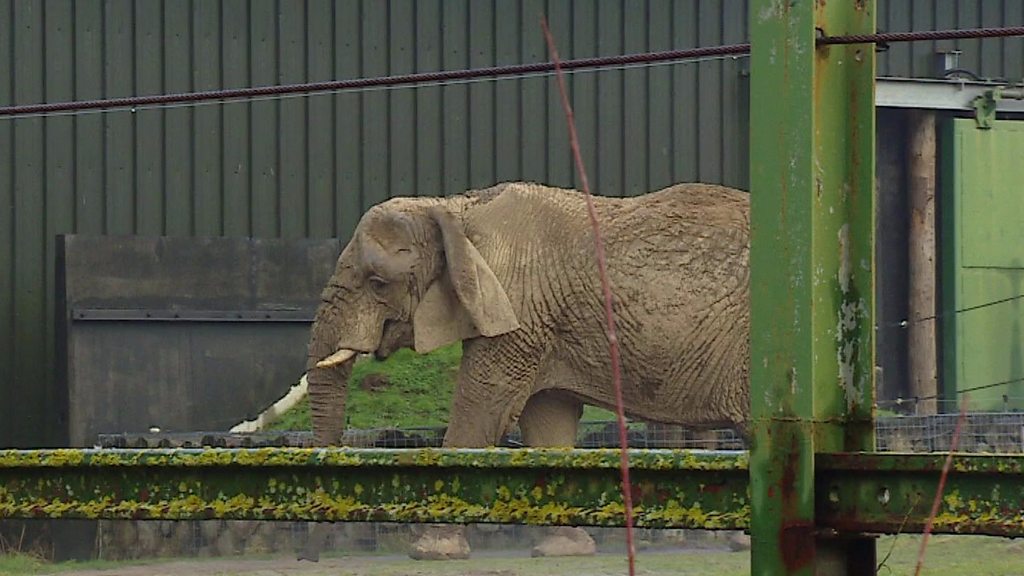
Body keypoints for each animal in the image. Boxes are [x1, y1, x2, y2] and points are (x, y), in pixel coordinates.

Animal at [299, 179, 749, 557]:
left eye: (377, 283)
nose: (310, 556)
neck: (455, 209)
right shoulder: (541, 322)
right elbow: (548, 420)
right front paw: (562, 550)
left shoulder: (517, 310)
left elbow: (482, 406)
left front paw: (432, 549)